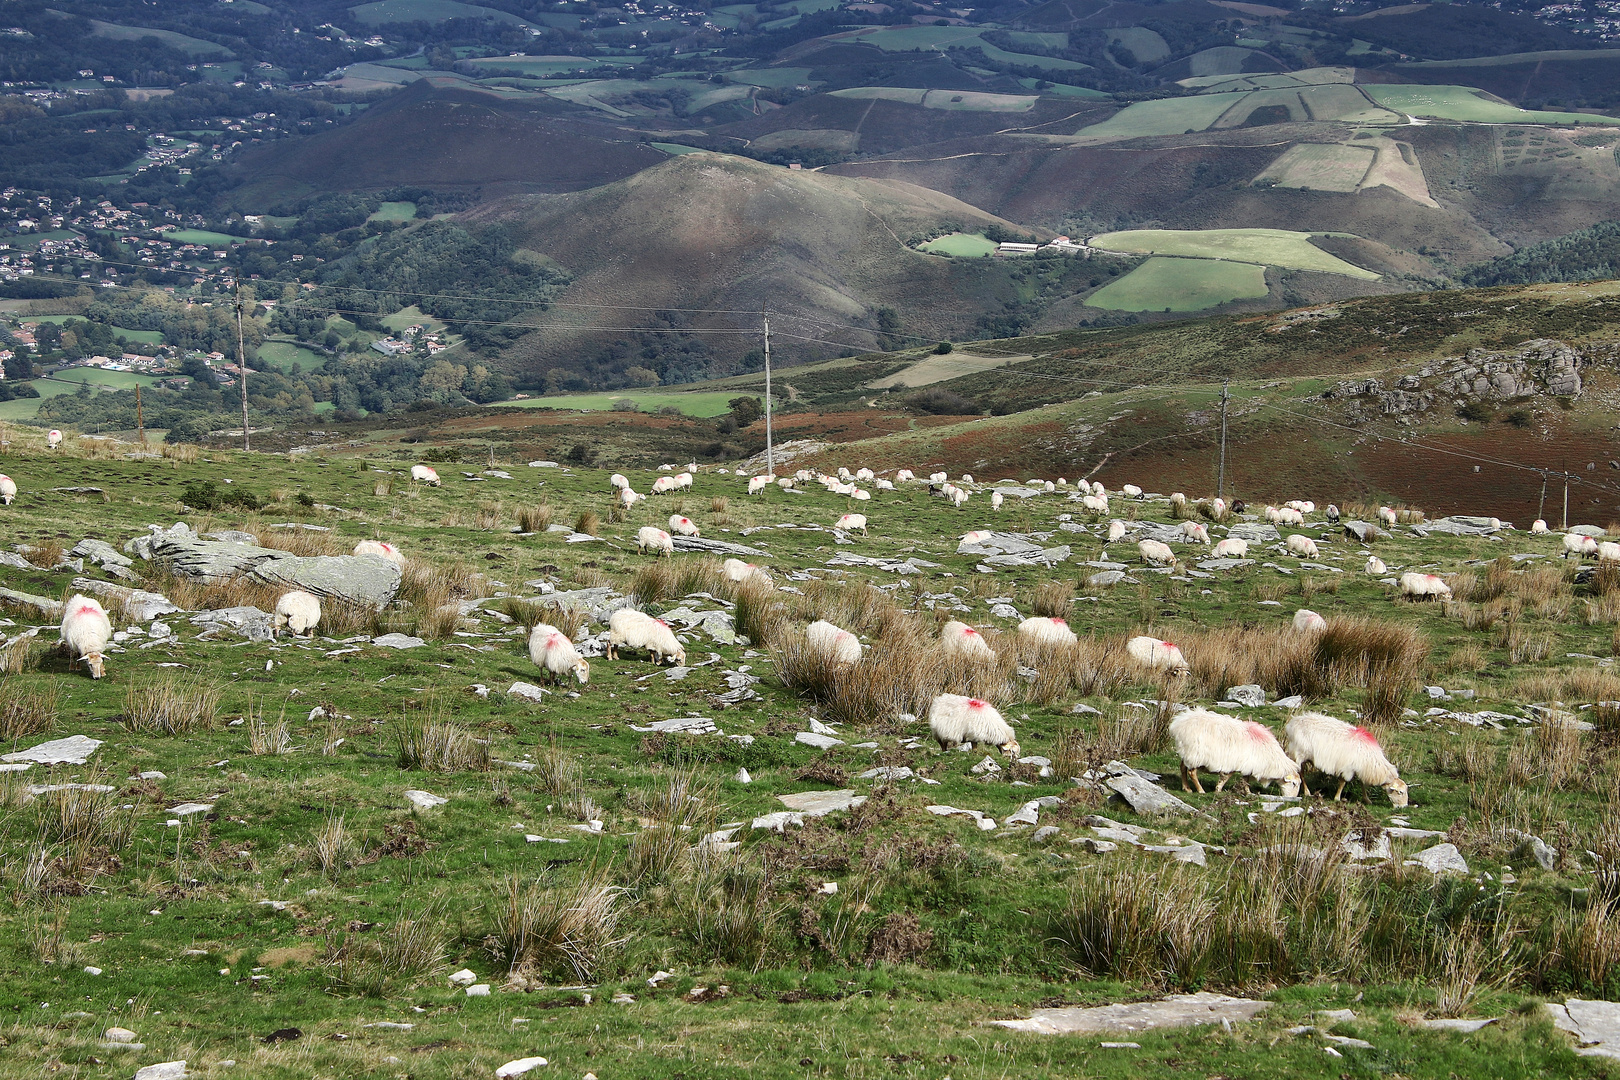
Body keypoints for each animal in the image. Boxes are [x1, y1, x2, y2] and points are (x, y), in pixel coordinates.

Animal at [1166, 712, 1302, 799]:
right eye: (1293, 784)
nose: (1292, 799)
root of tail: (1179, 724)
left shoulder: (1248, 765)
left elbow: (1245, 780)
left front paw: (1248, 793)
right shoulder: (1234, 763)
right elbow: (1227, 777)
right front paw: (1218, 790)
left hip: (1188, 753)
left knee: (1182, 768)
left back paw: (1187, 788)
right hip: (1196, 754)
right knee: (1192, 772)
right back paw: (1200, 790)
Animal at [1276, 712, 1406, 806]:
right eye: (1400, 792)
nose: (1403, 807)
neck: (1371, 761)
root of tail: (1293, 723)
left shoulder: (1358, 768)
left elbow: (1362, 784)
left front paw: (1367, 799)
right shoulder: (1347, 768)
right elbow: (1343, 783)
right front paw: (1337, 798)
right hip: (1299, 753)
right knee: (1300, 772)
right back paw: (1307, 792)